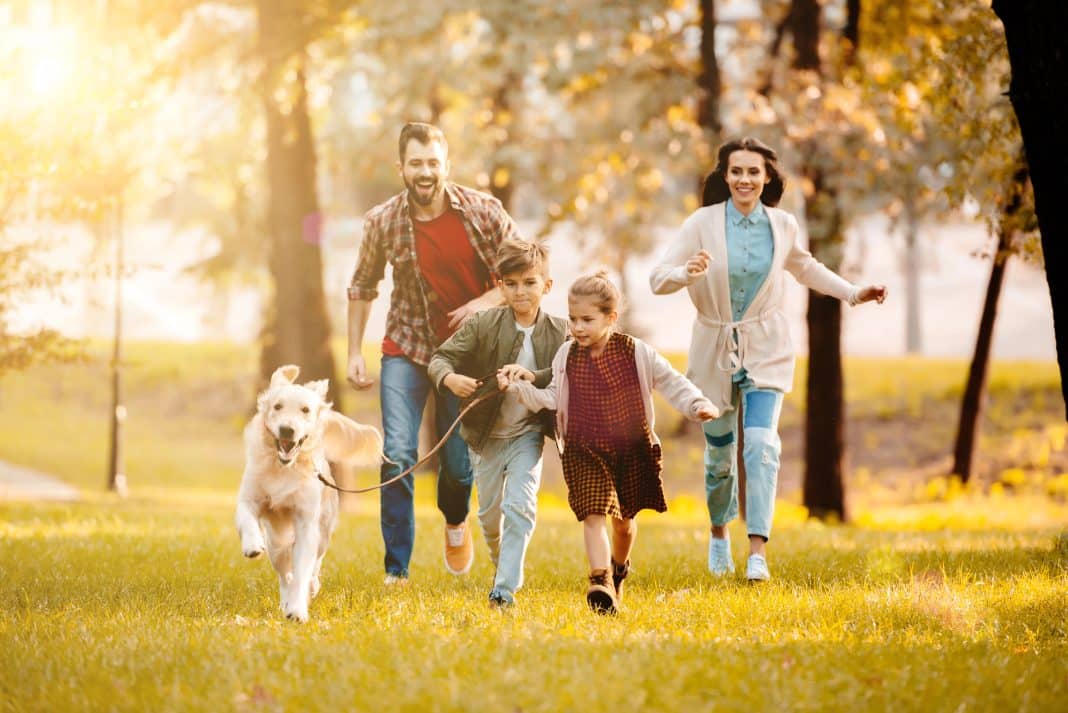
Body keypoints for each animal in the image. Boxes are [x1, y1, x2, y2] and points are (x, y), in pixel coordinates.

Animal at [238, 365, 384, 619]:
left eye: (305, 410)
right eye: (277, 406)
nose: (287, 429)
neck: (285, 468)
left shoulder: (307, 523)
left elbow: (303, 570)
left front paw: (297, 609)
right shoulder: (249, 497)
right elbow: (247, 517)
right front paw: (252, 544)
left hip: (323, 532)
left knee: (314, 563)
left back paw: (310, 587)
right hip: (276, 543)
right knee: (284, 574)